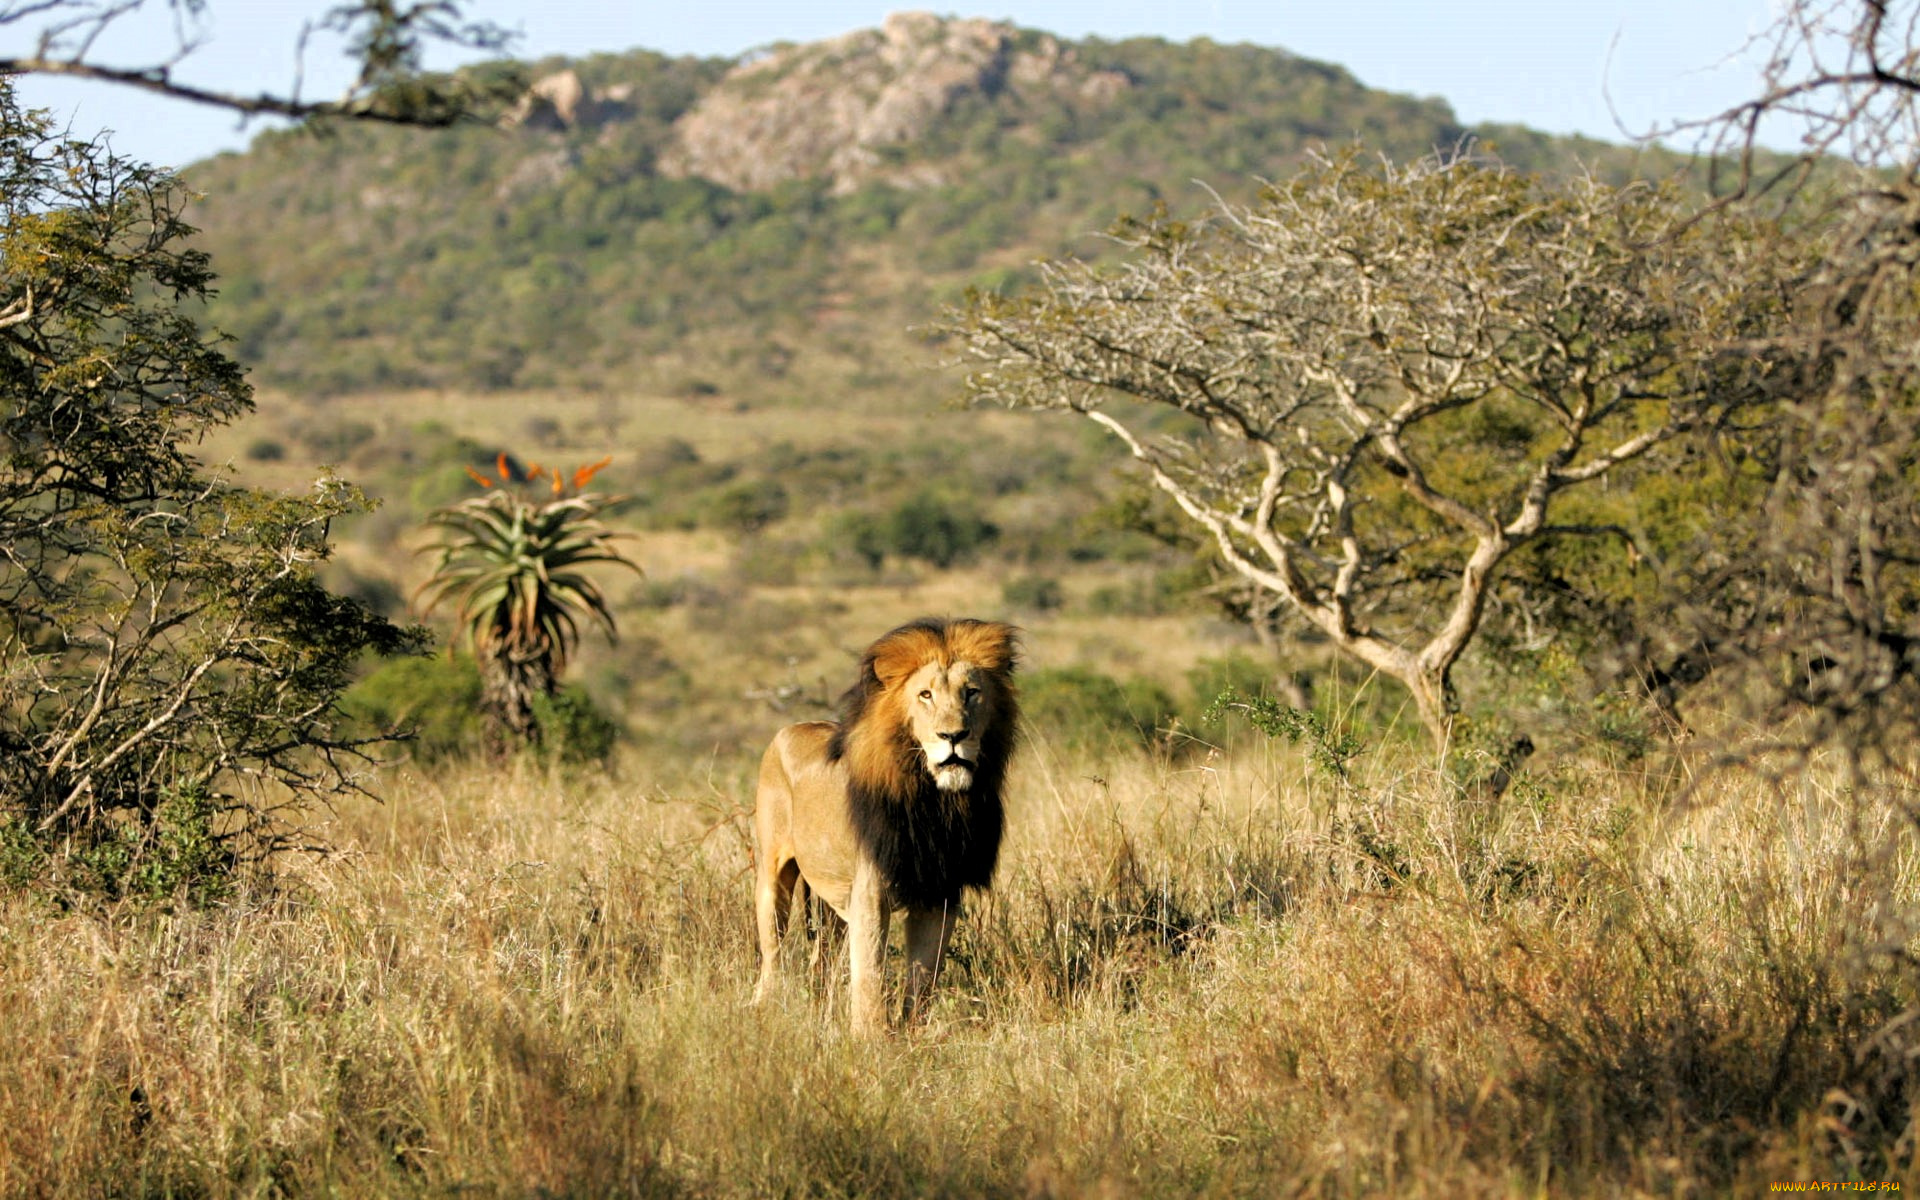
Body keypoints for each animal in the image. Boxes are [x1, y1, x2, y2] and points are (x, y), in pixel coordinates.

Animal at [748, 618, 1021, 1029]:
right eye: (925, 695)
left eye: (972, 693)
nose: (954, 736)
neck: (935, 803)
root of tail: (791, 728)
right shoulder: (870, 891)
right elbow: (870, 975)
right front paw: (871, 1037)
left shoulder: (939, 893)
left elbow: (924, 975)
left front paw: (913, 1033)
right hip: (773, 876)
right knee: (773, 955)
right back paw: (764, 1011)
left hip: (831, 901)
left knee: (820, 961)